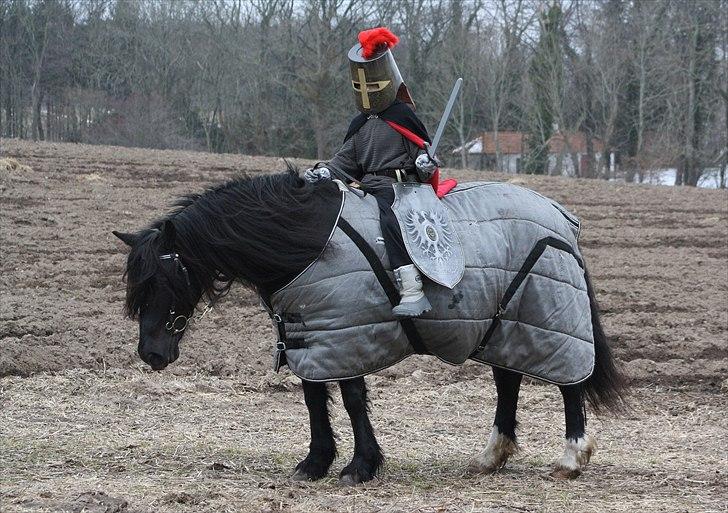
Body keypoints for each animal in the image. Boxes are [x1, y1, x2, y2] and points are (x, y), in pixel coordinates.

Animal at [114, 168, 624, 484]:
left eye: (162, 279)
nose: (151, 353)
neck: (309, 239)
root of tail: (561, 216)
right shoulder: (311, 333)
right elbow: (314, 398)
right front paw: (315, 461)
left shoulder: (349, 331)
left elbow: (353, 398)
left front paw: (360, 466)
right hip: (502, 324)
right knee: (508, 381)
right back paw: (491, 455)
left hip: (547, 316)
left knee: (569, 385)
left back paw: (572, 457)